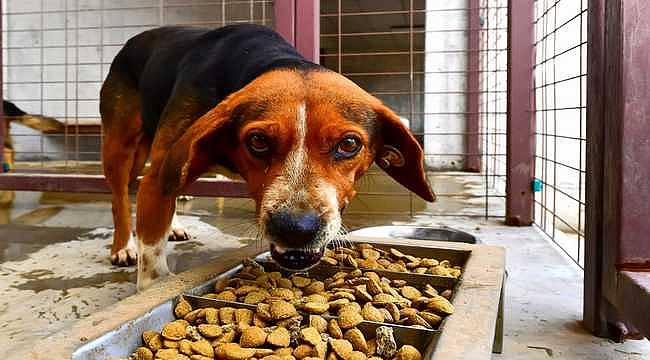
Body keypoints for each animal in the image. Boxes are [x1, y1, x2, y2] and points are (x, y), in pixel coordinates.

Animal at [100, 23, 436, 290]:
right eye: (258, 141)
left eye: (350, 144)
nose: (296, 229)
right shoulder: (159, 178)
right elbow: (152, 268)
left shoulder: (171, 170)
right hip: (121, 147)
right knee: (119, 197)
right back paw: (123, 246)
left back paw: (174, 225)